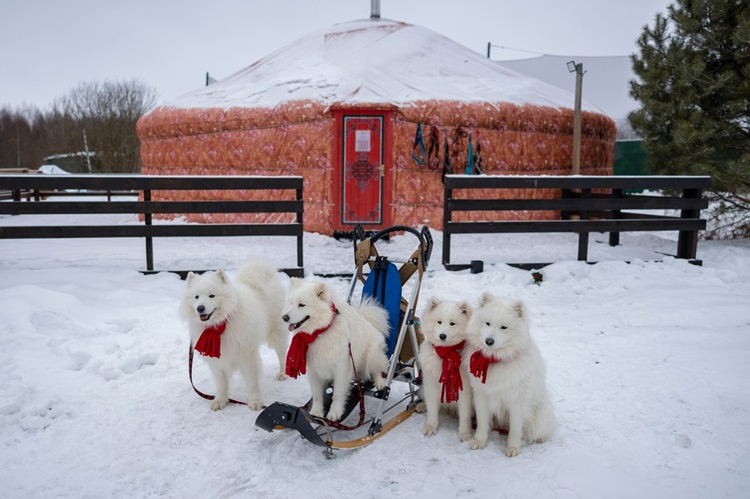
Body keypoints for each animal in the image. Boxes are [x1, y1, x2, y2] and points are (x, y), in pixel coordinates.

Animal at [179, 260, 290, 412]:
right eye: (196, 297)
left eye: (212, 295)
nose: (200, 308)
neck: (220, 324)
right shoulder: (217, 361)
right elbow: (221, 384)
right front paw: (220, 401)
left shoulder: (247, 356)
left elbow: (252, 382)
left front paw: (255, 402)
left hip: (277, 335)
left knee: (282, 355)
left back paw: (282, 374)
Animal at [284, 280, 394, 424]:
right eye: (290, 303)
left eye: (301, 305)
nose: (284, 317)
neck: (321, 332)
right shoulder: (313, 370)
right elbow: (317, 394)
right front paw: (316, 413)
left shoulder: (342, 368)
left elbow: (337, 394)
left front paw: (334, 413)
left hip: (372, 356)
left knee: (378, 370)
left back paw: (380, 383)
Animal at [418, 296, 476, 442]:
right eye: (439, 322)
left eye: (452, 323)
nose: (442, 336)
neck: (446, 354)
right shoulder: (431, 386)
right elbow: (432, 410)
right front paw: (430, 428)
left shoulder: (464, 391)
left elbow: (465, 414)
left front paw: (465, 433)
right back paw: (421, 406)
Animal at [464, 292, 560, 458]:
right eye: (487, 323)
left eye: (504, 327)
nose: (489, 341)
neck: (495, 360)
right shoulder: (481, 396)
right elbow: (482, 422)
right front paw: (479, 441)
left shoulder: (517, 403)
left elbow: (515, 429)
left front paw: (513, 448)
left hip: (538, 420)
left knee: (539, 431)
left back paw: (541, 438)